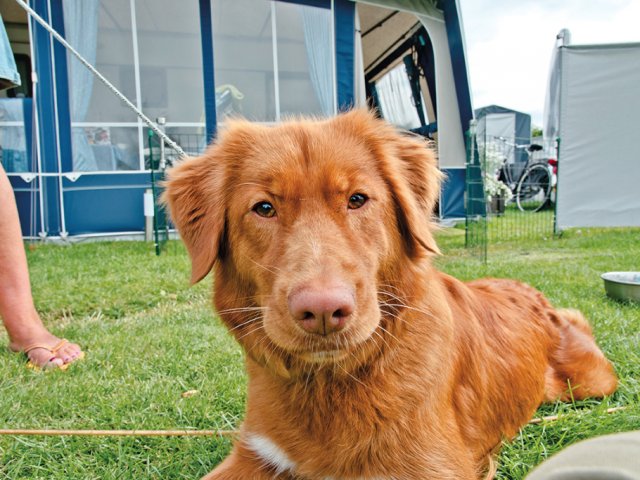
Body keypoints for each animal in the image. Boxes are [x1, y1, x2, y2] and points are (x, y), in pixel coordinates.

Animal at [164, 110, 617, 479]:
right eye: (263, 208)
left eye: (357, 199)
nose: (323, 310)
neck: (328, 384)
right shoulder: (257, 452)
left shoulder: (433, 466)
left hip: (592, 382)